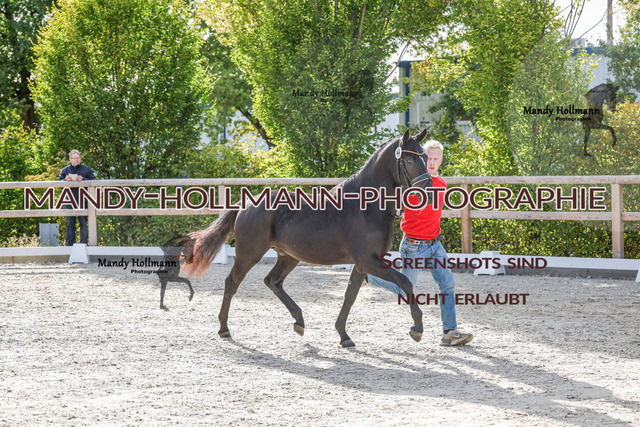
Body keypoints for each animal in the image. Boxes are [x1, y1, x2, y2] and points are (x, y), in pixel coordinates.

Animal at [179, 129, 432, 347]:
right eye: (409, 160)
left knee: (273, 281)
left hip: (289, 256)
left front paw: (343, 335)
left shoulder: (363, 264)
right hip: (249, 254)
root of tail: (246, 203)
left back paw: (299, 322)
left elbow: (350, 296)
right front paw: (417, 329)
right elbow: (405, 282)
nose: (429, 192)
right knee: (232, 283)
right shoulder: (368, 261)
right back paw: (224, 329)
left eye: (426, 157)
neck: (365, 207)